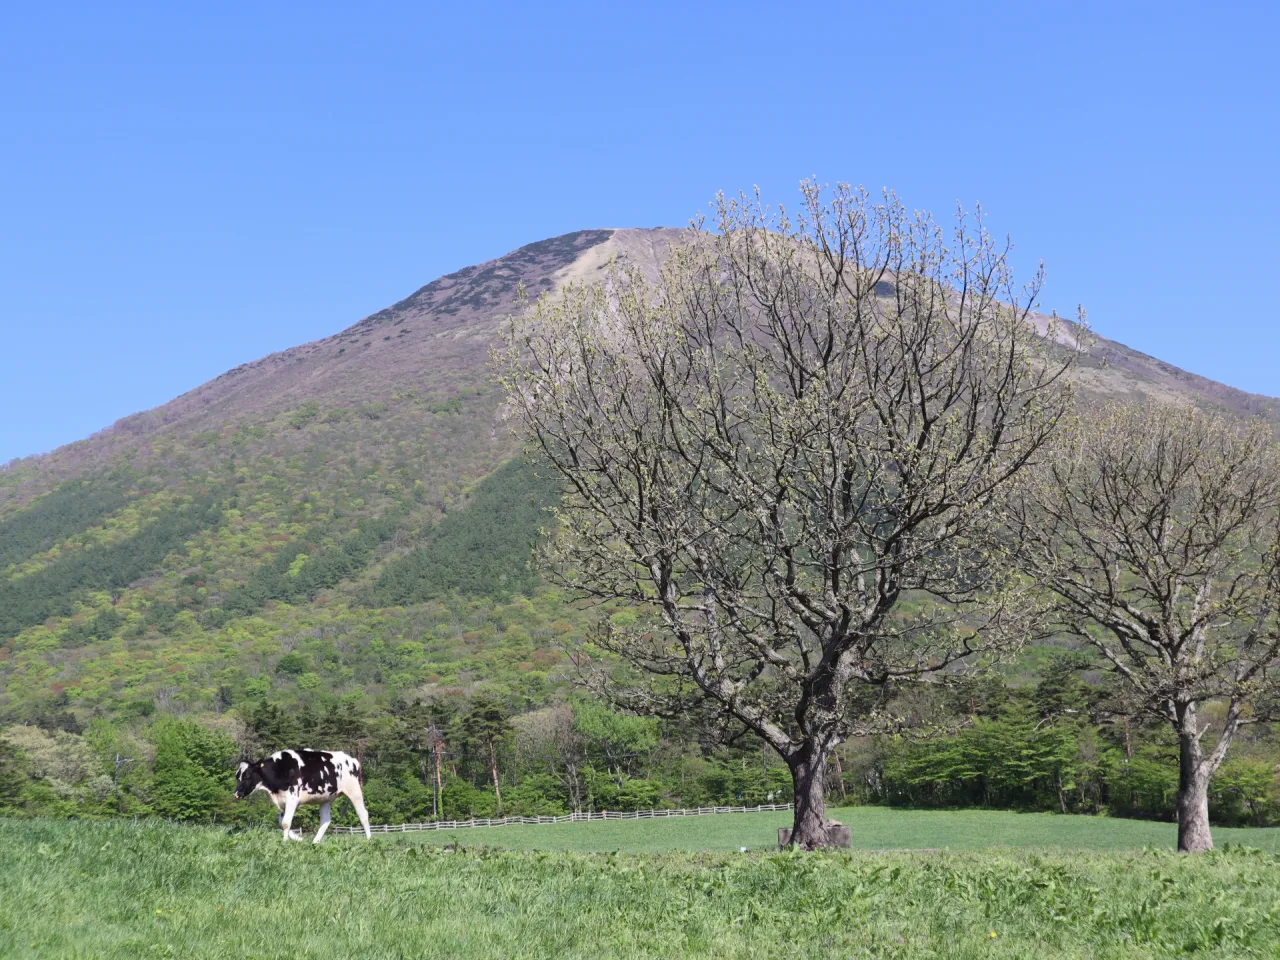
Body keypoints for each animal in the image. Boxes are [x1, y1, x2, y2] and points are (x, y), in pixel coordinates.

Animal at [232, 752, 373, 839]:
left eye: (247, 776)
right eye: (237, 776)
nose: (236, 794)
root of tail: (353, 760)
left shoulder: (292, 799)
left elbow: (286, 823)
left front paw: (285, 842)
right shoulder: (283, 801)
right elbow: (282, 822)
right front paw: (297, 838)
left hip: (354, 791)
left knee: (363, 815)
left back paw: (369, 840)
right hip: (327, 798)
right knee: (325, 820)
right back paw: (315, 842)